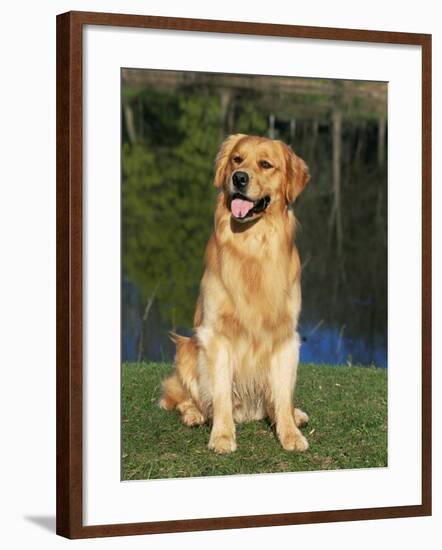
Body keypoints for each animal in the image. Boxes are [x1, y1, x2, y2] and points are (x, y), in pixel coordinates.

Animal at [160, 136, 310, 454]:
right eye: (237, 159)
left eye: (265, 164)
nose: (239, 178)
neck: (252, 247)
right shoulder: (216, 336)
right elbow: (220, 395)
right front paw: (222, 436)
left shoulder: (285, 337)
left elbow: (282, 394)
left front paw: (289, 433)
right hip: (187, 349)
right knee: (181, 396)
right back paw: (194, 414)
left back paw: (293, 415)